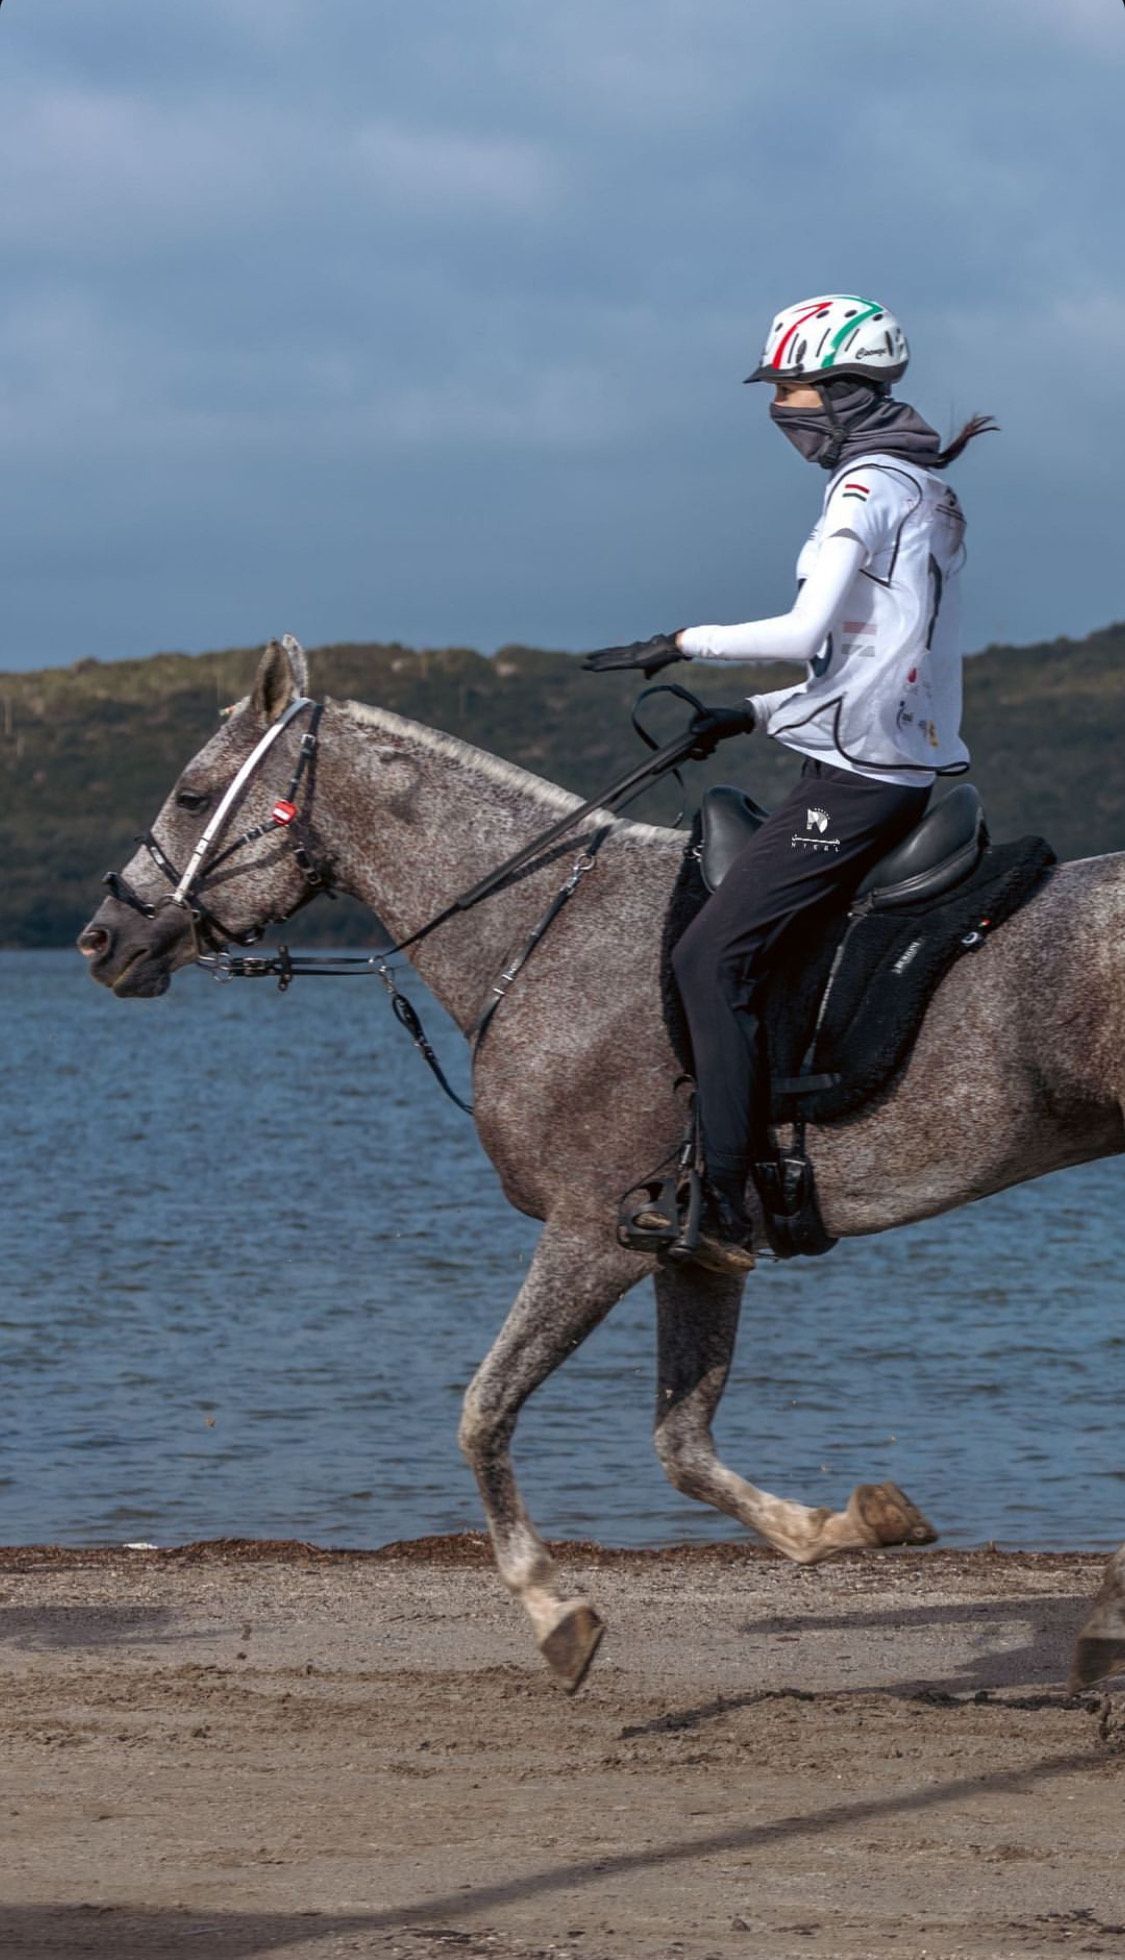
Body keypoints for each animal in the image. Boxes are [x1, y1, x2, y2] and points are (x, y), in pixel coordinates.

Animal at [79, 635, 1125, 1693]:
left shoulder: (591, 1235)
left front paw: (555, 1611)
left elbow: (484, 1412)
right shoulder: (696, 1248)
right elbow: (680, 1445)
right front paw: (843, 1526)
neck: (543, 931)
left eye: (194, 794)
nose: (101, 940)